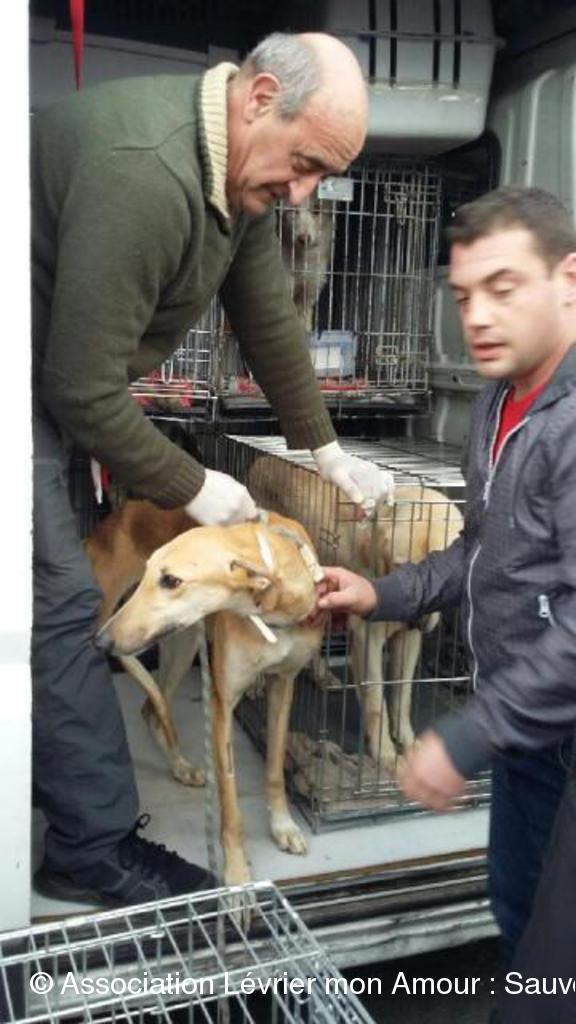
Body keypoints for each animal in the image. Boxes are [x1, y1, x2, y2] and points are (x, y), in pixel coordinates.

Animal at [88, 504, 325, 888]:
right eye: (150, 572)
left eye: (171, 581)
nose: (100, 642)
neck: (272, 606)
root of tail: (124, 508)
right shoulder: (222, 702)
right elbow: (229, 804)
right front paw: (237, 875)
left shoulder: (284, 685)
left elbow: (275, 769)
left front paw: (283, 826)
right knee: (152, 707)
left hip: (181, 645)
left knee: (151, 709)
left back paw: (180, 766)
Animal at [247, 456, 464, 776]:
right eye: (400, 565)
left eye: (439, 568)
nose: (417, 613)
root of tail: (263, 459)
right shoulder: (368, 638)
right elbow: (376, 701)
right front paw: (387, 755)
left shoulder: (409, 638)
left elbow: (403, 695)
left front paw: (409, 743)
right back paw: (257, 683)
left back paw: (322, 674)